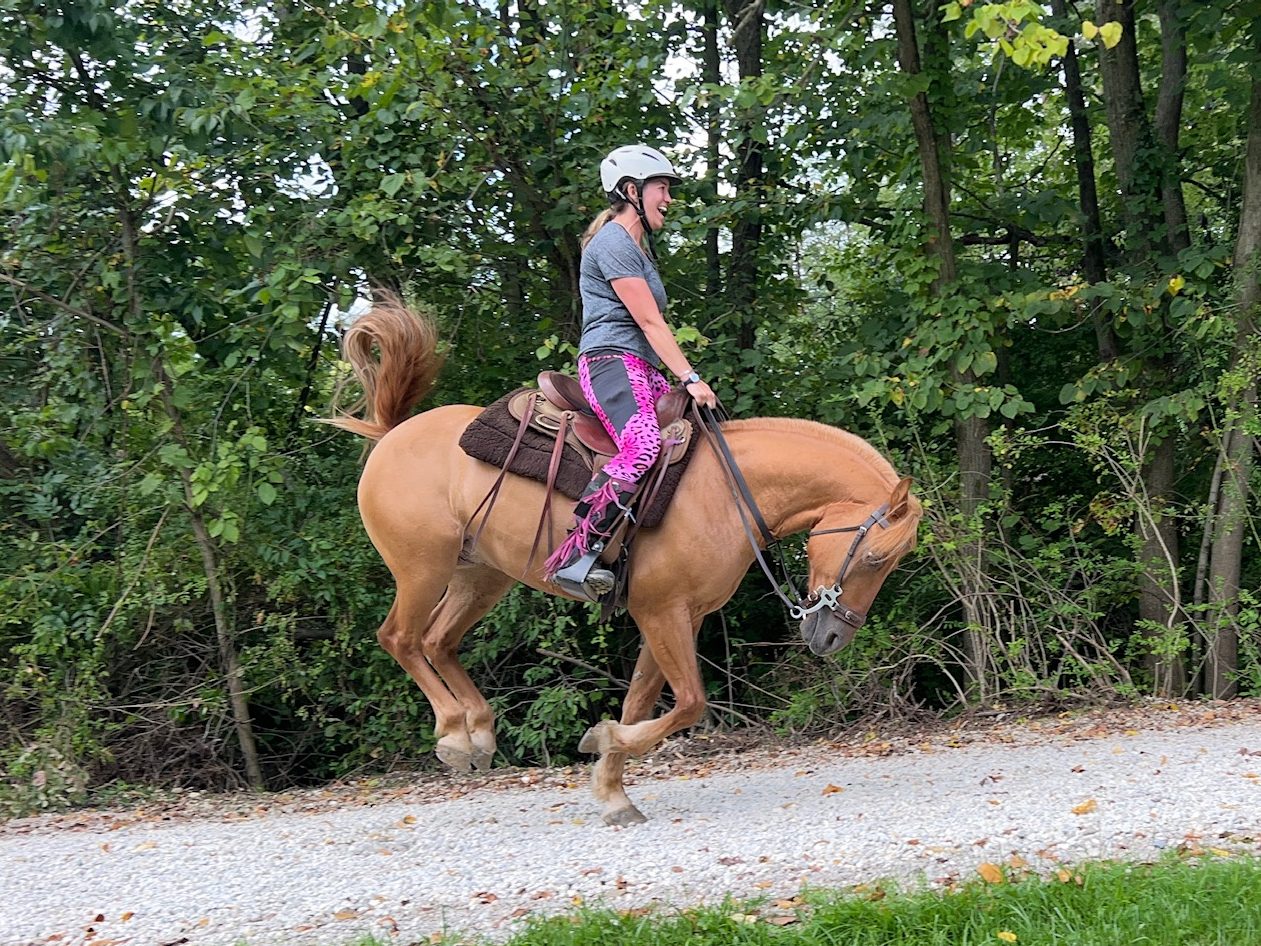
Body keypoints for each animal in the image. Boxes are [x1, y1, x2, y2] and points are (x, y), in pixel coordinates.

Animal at [327, 296, 922, 826]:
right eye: (874, 558)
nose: (833, 638)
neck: (726, 491)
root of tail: (393, 434)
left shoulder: (678, 615)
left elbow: (643, 702)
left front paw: (613, 788)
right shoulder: (661, 612)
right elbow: (689, 703)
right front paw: (603, 743)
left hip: (481, 576)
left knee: (438, 641)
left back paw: (478, 732)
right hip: (422, 569)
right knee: (401, 638)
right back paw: (454, 733)